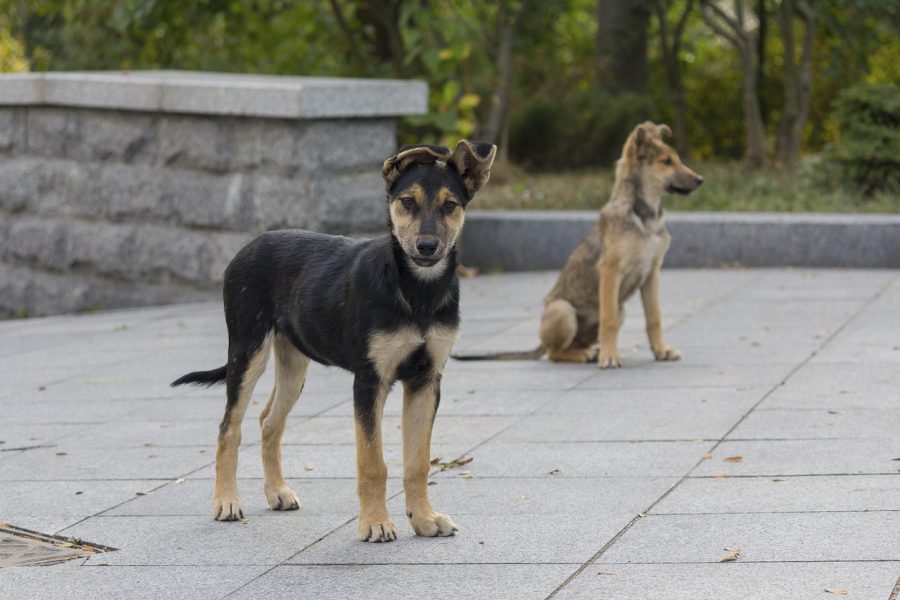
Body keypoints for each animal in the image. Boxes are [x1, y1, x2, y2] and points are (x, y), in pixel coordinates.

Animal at [172, 141, 496, 544]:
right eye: (407, 202)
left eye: (450, 205)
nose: (426, 246)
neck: (416, 291)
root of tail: (249, 245)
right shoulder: (369, 381)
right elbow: (373, 462)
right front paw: (375, 523)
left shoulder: (426, 381)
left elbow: (417, 462)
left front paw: (424, 519)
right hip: (247, 352)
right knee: (228, 428)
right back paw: (227, 502)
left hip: (294, 365)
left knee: (268, 421)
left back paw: (277, 492)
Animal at [458, 120, 704, 366]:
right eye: (666, 162)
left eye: (676, 158)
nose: (700, 180)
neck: (644, 215)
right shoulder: (610, 271)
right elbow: (608, 320)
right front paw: (610, 357)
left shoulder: (652, 273)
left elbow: (654, 317)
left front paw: (662, 350)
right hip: (563, 310)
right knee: (555, 352)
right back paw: (588, 354)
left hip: (620, 308)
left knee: (578, 342)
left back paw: (593, 351)